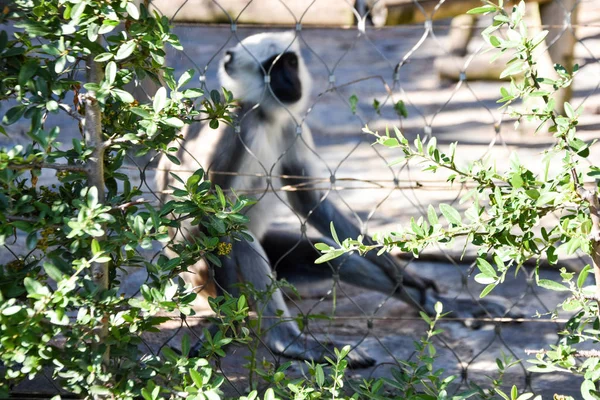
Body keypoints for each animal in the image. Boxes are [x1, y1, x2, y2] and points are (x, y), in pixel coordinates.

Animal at [157, 31, 512, 368]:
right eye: (272, 67)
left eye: (290, 62)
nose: (291, 82)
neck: (264, 116)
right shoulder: (234, 127)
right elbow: (212, 215)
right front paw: (226, 324)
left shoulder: (291, 125)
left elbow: (312, 201)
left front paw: (406, 276)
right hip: (203, 273)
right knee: (240, 238)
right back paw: (288, 341)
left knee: (331, 254)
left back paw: (442, 305)